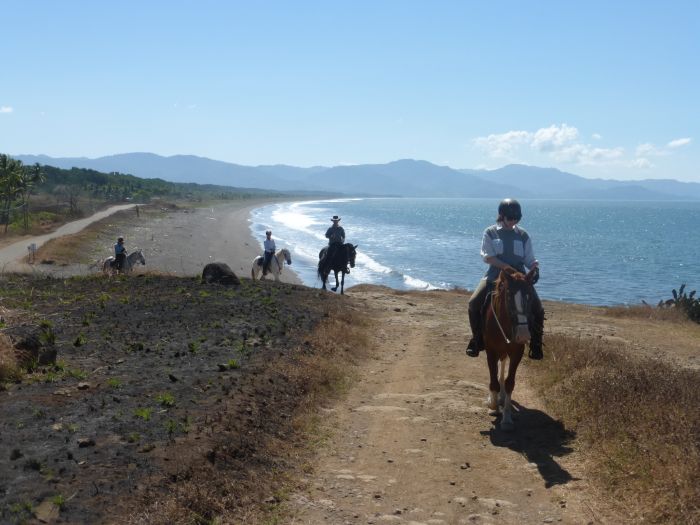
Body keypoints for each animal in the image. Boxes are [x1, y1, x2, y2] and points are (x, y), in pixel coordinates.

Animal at [484, 266, 540, 430]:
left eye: (530, 296)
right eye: (509, 297)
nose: (523, 335)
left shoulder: (516, 353)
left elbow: (509, 383)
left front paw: (507, 418)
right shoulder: (491, 351)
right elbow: (493, 380)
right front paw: (493, 406)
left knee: (502, 365)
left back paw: (501, 397)